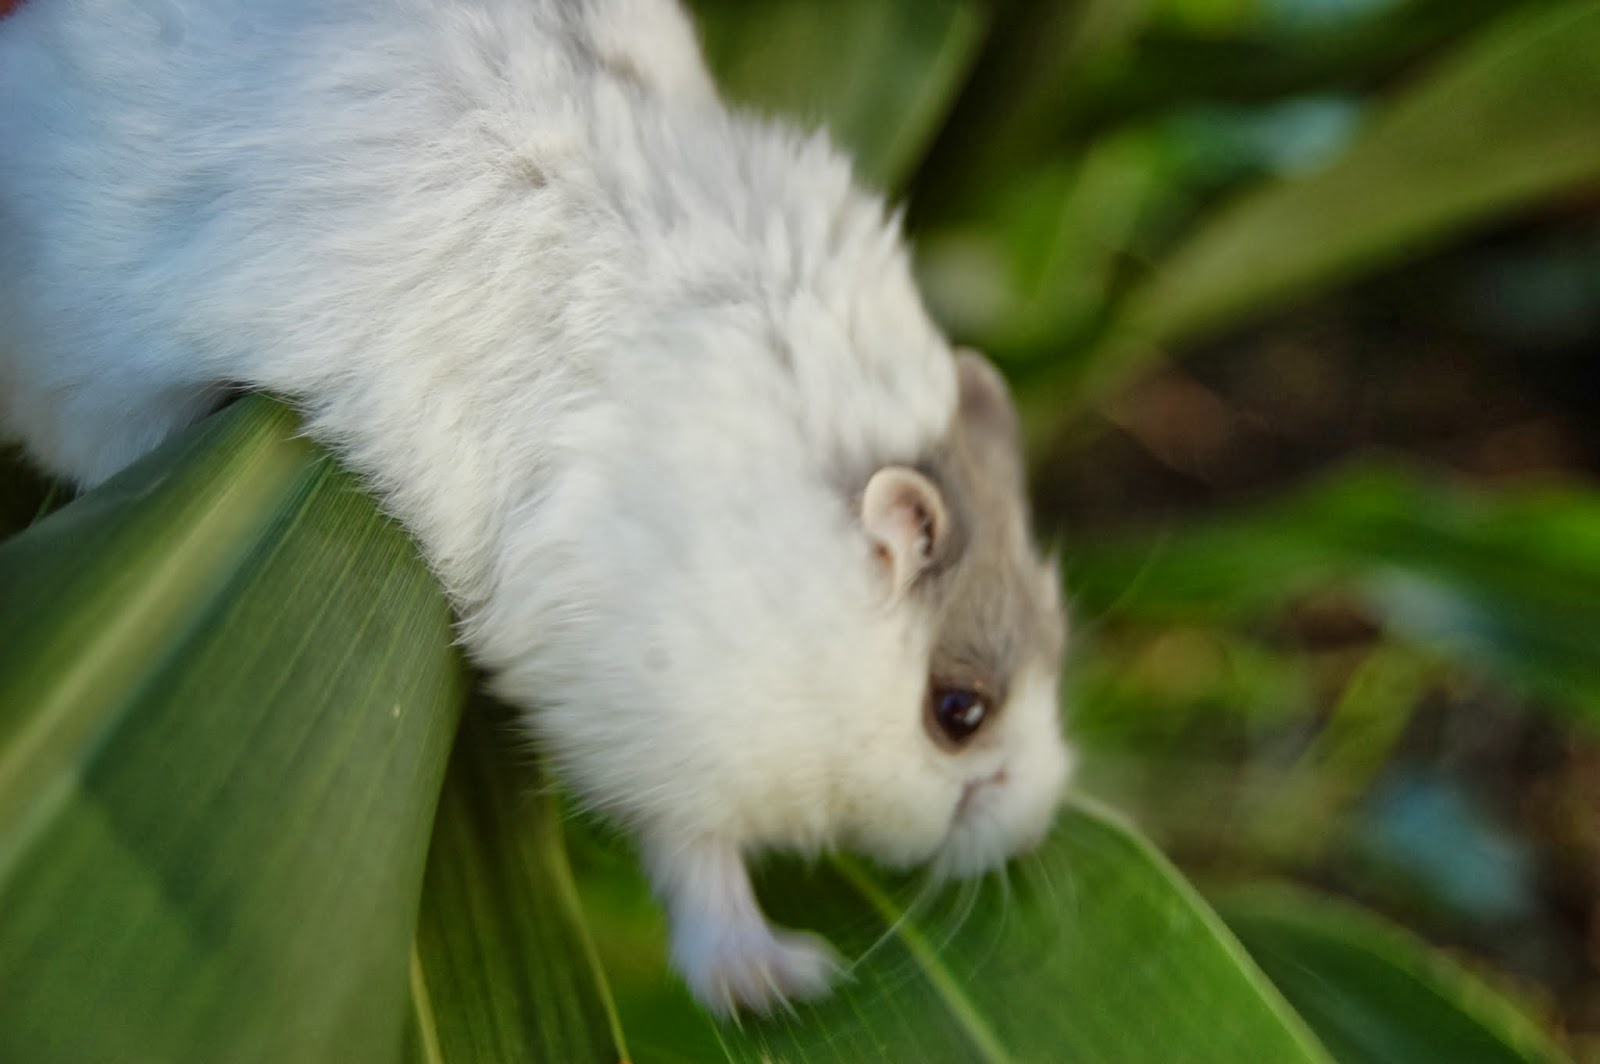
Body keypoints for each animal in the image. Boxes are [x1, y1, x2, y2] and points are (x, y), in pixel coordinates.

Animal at [0, 0, 1071, 1014]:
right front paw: (784, 984)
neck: (801, 592)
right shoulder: (649, 711)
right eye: (959, 713)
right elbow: (696, 859)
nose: (1039, 825)